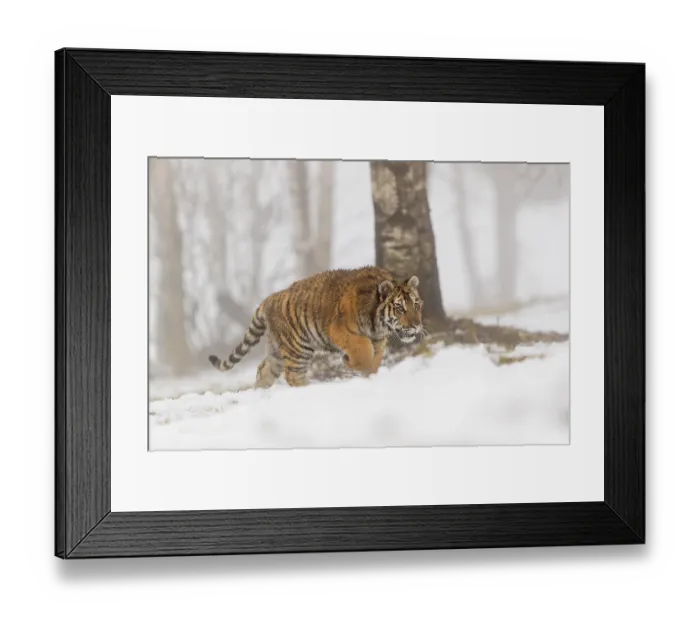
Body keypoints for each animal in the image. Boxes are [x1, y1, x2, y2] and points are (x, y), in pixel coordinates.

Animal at [208, 266, 424, 388]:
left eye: (416, 305)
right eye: (399, 308)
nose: (416, 325)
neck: (378, 325)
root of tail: (270, 298)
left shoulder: (378, 340)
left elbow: (375, 358)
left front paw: (369, 374)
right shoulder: (340, 331)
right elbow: (363, 350)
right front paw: (351, 363)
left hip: (277, 351)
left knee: (265, 369)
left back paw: (261, 391)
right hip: (297, 349)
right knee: (293, 375)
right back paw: (307, 389)